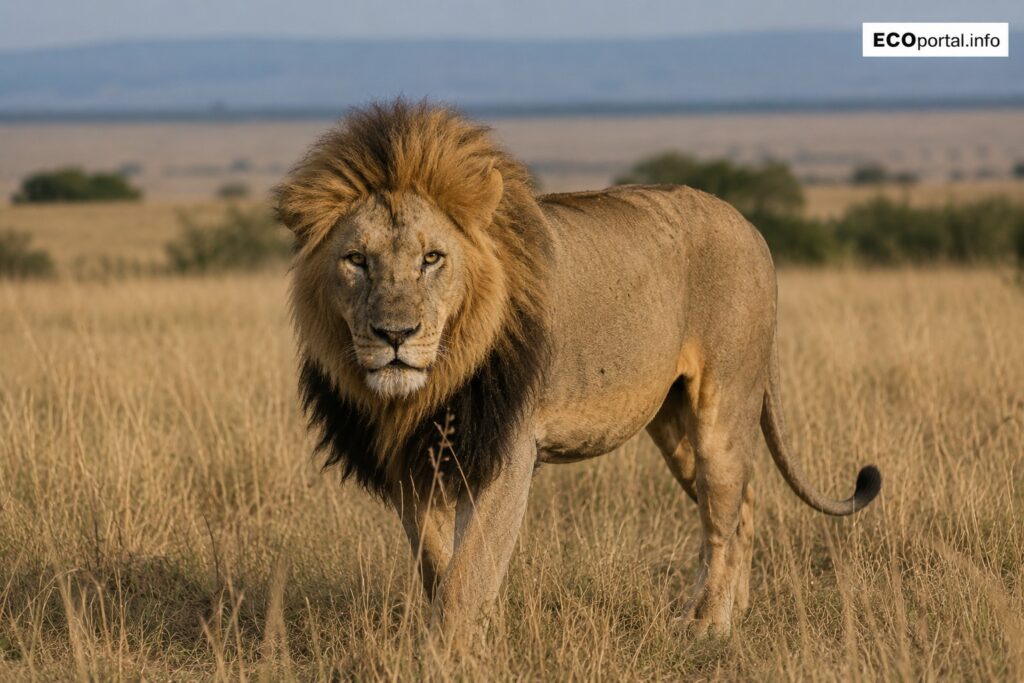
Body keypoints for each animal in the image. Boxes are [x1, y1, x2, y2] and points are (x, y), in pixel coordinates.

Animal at [275, 100, 881, 639]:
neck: (424, 390)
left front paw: (449, 656)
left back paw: (708, 624)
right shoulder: (410, 461)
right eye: (356, 260)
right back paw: (736, 608)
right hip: (671, 422)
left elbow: (467, 576)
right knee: (742, 504)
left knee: (723, 509)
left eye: (432, 258)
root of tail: (748, 224)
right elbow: (439, 566)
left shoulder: (507, 450)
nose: (394, 335)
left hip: (724, 403)